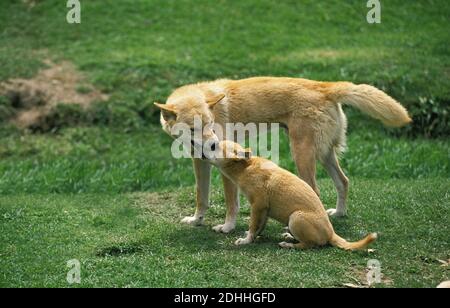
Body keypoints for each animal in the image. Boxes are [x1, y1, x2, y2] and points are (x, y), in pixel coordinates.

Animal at [155, 76, 412, 232]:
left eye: (209, 124)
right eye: (193, 128)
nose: (214, 144)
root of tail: (325, 86)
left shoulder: (224, 171)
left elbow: (231, 203)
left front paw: (227, 228)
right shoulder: (199, 163)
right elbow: (201, 196)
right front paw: (196, 220)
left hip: (302, 155)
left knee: (316, 191)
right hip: (324, 154)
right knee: (344, 182)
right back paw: (339, 214)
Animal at [209, 140, 378, 250]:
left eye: (214, 146)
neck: (245, 167)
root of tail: (331, 233)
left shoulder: (258, 205)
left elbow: (253, 225)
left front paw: (246, 240)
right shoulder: (264, 209)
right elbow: (259, 226)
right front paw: (254, 236)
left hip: (296, 217)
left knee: (310, 245)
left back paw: (289, 244)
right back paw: (289, 237)